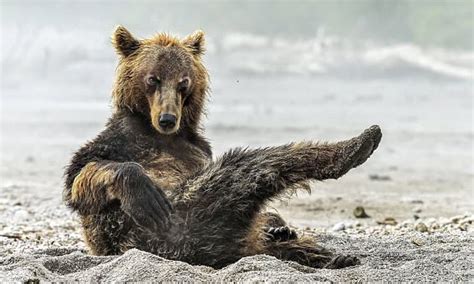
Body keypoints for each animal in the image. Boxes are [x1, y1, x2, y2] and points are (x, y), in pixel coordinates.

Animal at [63, 26, 382, 268]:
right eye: (153, 78)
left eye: (183, 81)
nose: (168, 118)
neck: (163, 135)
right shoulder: (121, 139)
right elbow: (83, 175)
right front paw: (143, 193)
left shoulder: (200, 150)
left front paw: (280, 226)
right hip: (184, 219)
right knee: (252, 164)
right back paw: (357, 146)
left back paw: (326, 251)